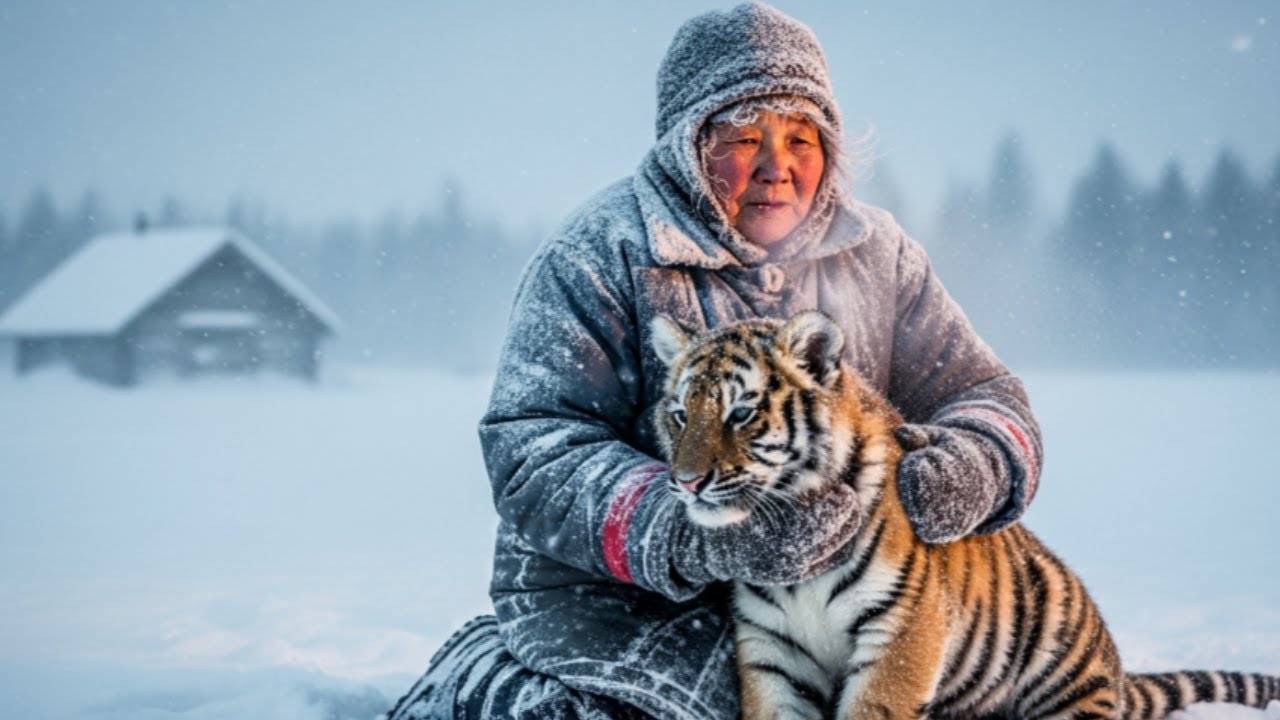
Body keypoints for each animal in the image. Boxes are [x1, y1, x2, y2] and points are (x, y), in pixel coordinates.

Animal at [649, 310, 1280, 720]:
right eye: (681, 414)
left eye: (741, 413)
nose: (686, 481)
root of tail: (1116, 671)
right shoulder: (772, 650)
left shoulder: (900, 632)